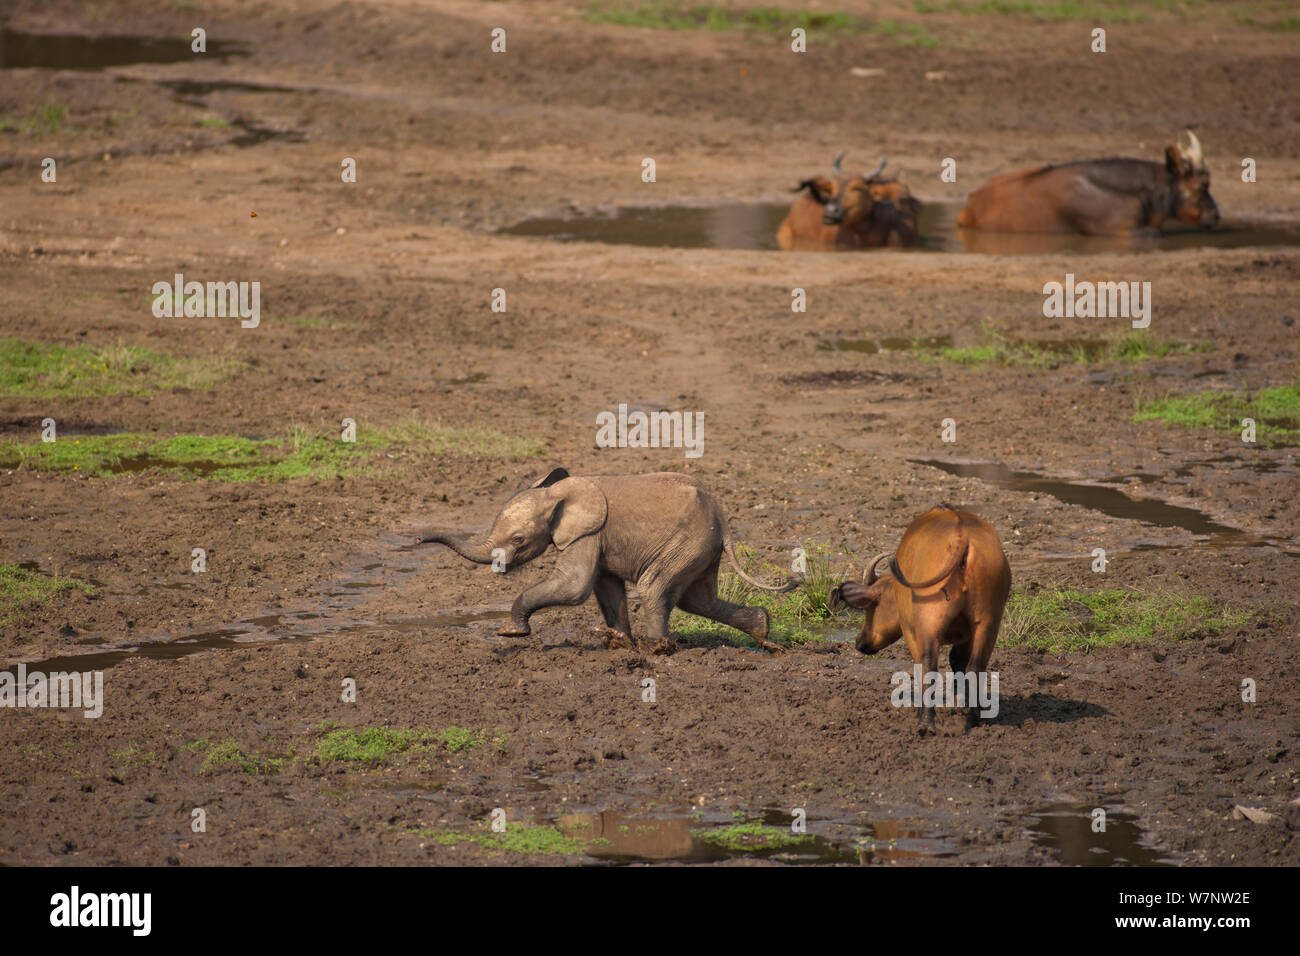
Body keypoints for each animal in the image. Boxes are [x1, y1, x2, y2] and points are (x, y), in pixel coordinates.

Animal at [421, 470, 795, 658]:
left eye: (518, 540)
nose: (420, 539)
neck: (556, 493)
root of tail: (722, 516)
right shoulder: (598, 539)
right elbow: (605, 586)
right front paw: (619, 643)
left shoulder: (587, 532)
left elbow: (575, 586)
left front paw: (510, 633)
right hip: (701, 547)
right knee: (697, 599)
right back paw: (764, 631)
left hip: (687, 543)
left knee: (656, 589)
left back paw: (658, 649)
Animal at [826, 504, 1008, 738]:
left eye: (870, 608)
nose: (859, 641)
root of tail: (962, 536)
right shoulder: (967, 636)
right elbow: (958, 662)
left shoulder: (911, 631)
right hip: (988, 623)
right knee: (975, 667)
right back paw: (972, 719)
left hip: (928, 625)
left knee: (929, 665)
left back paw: (925, 724)